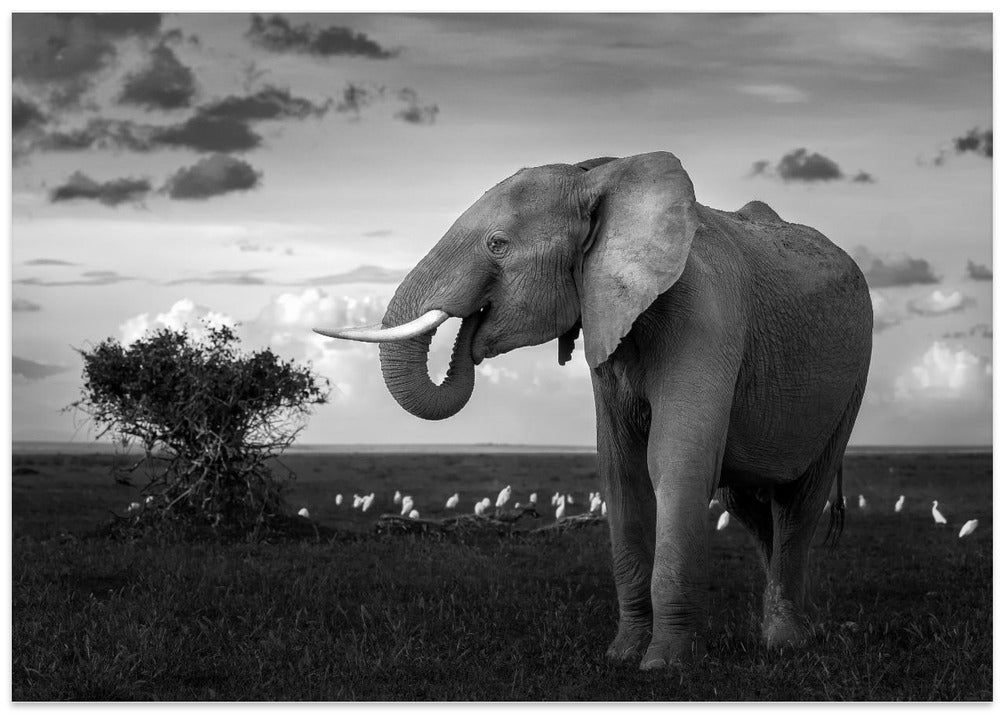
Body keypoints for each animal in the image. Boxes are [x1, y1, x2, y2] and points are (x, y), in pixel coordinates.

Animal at [316, 151, 873, 669]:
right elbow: (620, 471)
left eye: (498, 245)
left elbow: (676, 463)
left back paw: (785, 643)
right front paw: (622, 656)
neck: (600, 178)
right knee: (747, 504)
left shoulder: (705, 313)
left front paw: (664, 665)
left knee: (799, 501)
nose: (471, 334)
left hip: (854, 374)